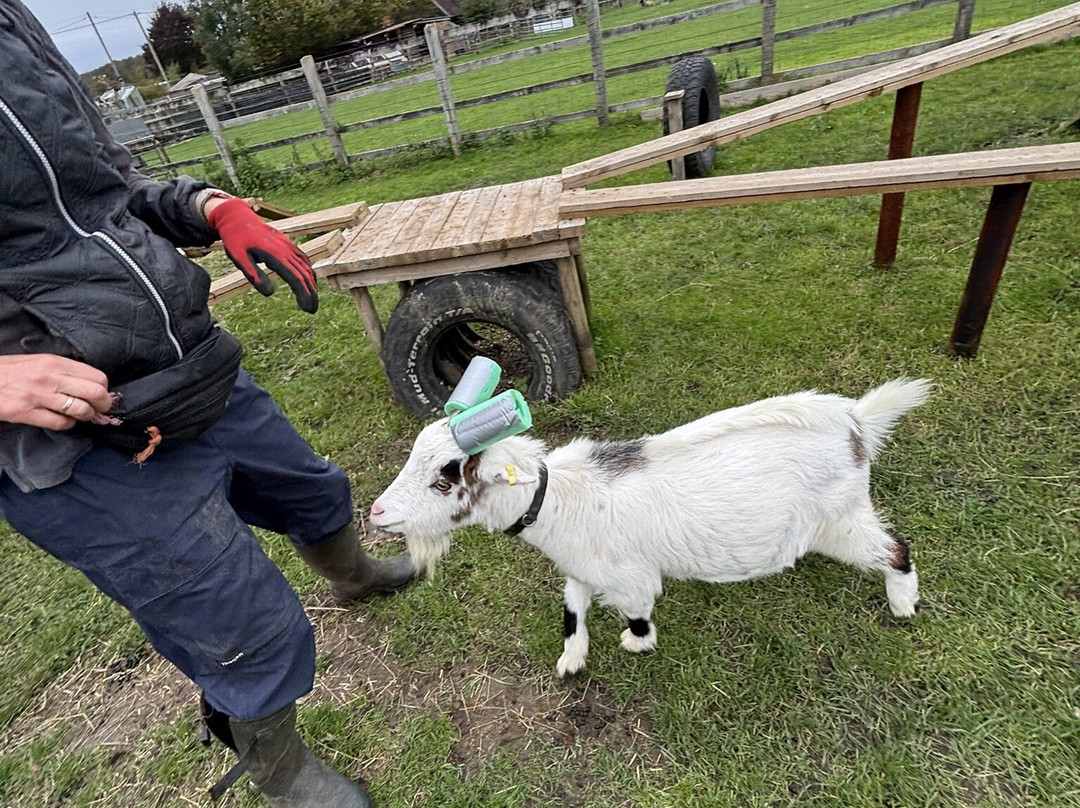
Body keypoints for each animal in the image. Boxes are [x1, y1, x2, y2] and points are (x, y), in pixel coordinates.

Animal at [370, 379, 930, 676]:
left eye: (444, 480)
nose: (375, 513)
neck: (557, 499)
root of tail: (856, 423)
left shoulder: (629, 576)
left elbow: (639, 611)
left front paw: (636, 643)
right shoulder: (581, 566)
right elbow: (571, 609)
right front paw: (572, 659)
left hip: (839, 520)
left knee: (896, 549)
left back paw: (903, 603)